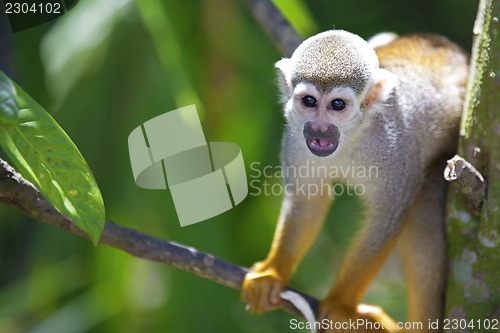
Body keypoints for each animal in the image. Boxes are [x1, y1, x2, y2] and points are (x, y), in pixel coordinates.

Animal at [242, 29, 468, 330]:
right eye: (309, 101)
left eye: (337, 105)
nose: (319, 129)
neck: (351, 138)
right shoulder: (295, 141)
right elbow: (307, 204)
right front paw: (272, 274)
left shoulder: (394, 149)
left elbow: (386, 218)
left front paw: (340, 305)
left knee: (424, 210)